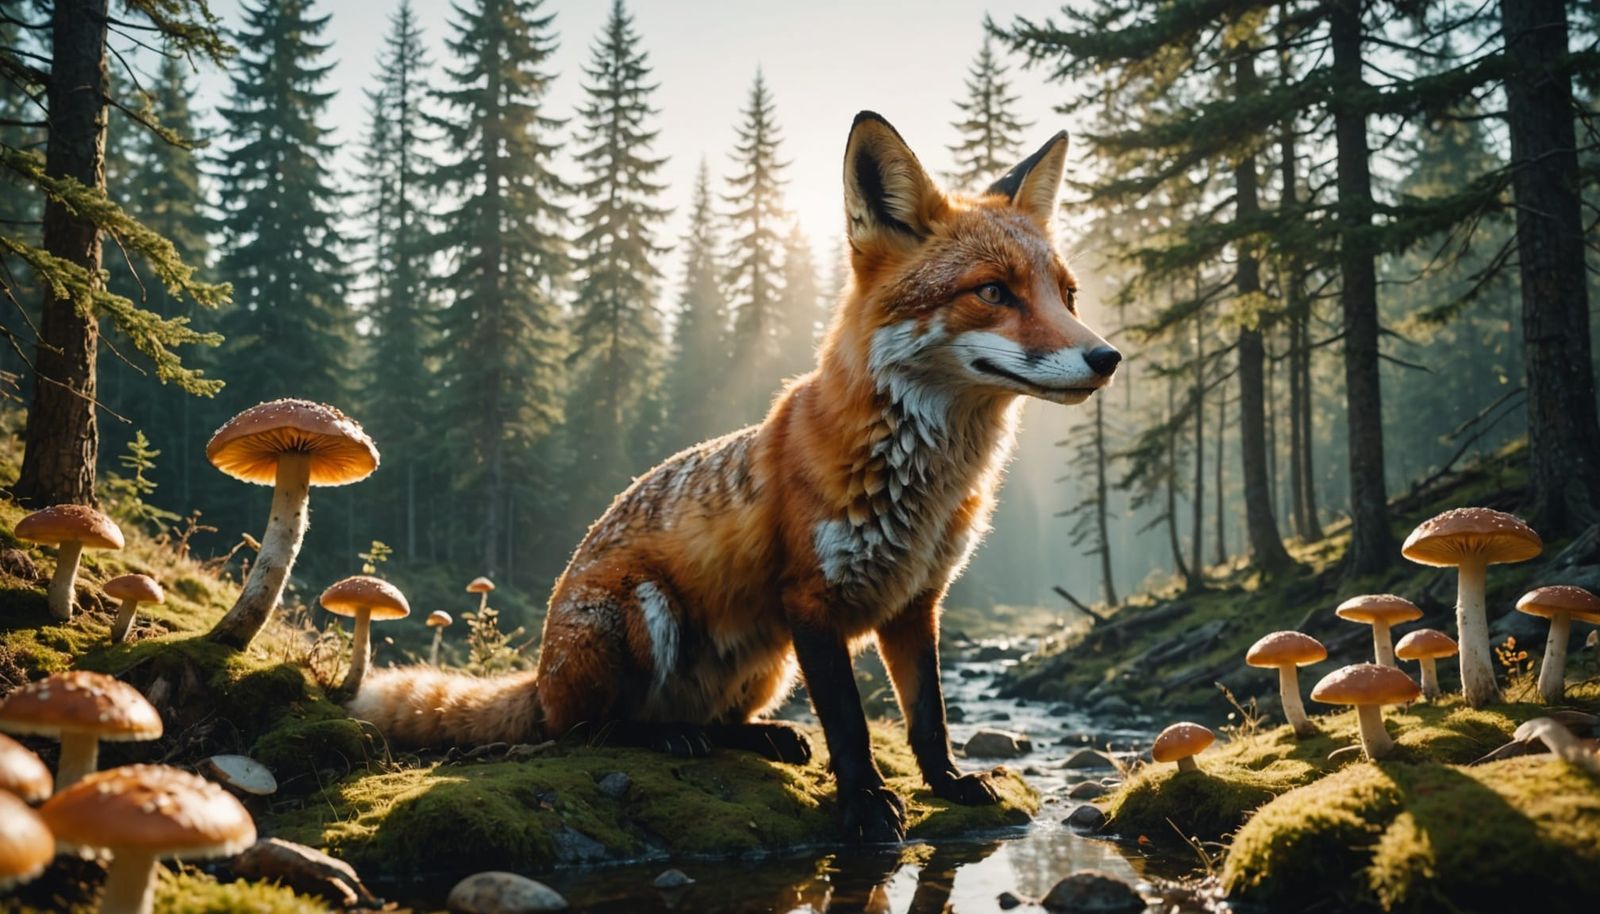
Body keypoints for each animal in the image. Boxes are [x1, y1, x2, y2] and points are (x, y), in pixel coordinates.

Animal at [349, 111, 1120, 843]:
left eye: (1067, 296)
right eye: (993, 291)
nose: (1107, 357)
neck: (919, 480)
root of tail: (540, 678)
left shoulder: (916, 604)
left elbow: (927, 716)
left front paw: (948, 782)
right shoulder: (812, 601)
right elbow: (852, 725)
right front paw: (865, 807)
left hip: (767, 660)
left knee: (718, 721)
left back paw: (760, 737)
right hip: (644, 608)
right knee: (591, 729)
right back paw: (665, 737)